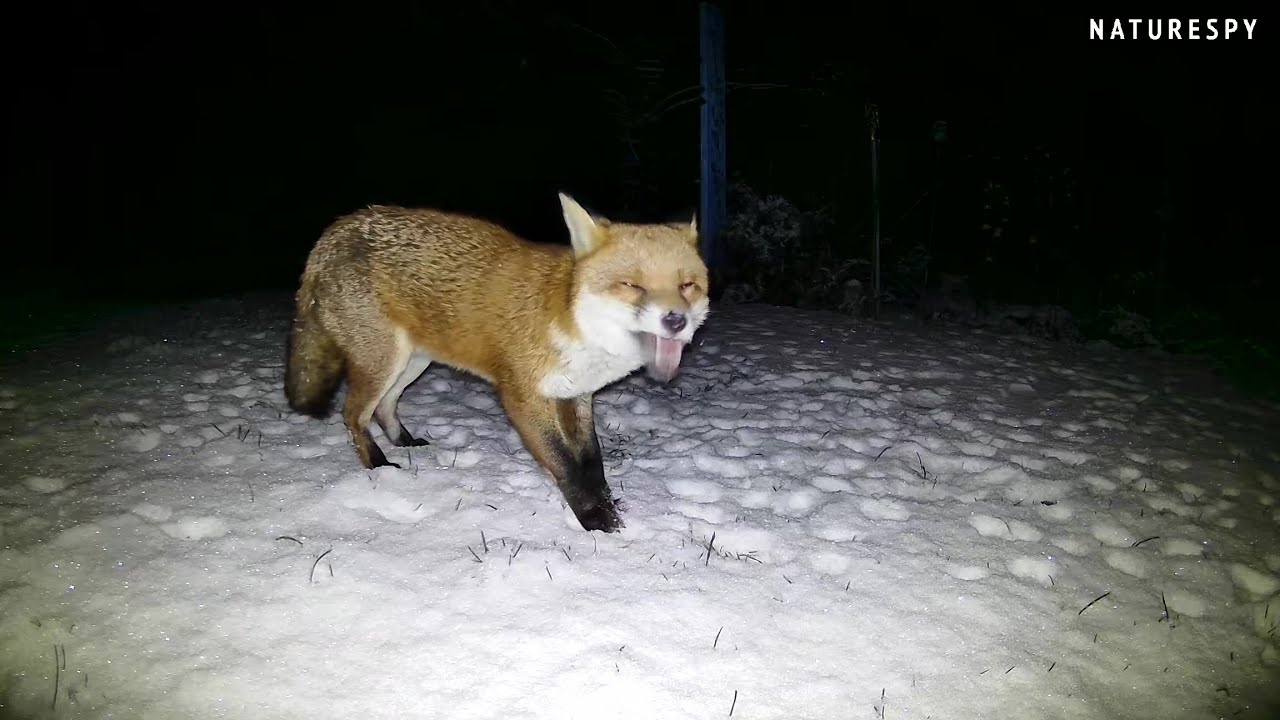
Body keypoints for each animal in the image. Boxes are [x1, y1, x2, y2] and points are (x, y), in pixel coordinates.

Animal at [284, 193, 710, 533]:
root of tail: (341, 225)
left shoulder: (577, 395)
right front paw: (597, 522)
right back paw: (376, 464)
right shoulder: (523, 397)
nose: (676, 320)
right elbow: (566, 466)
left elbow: (591, 463)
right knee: (353, 414)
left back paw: (403, 441)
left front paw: (605, 505)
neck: (572, 321)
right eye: (632, 285)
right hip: (384, 363)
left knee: (383, 408)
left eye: (687, 286)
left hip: (412, 363)